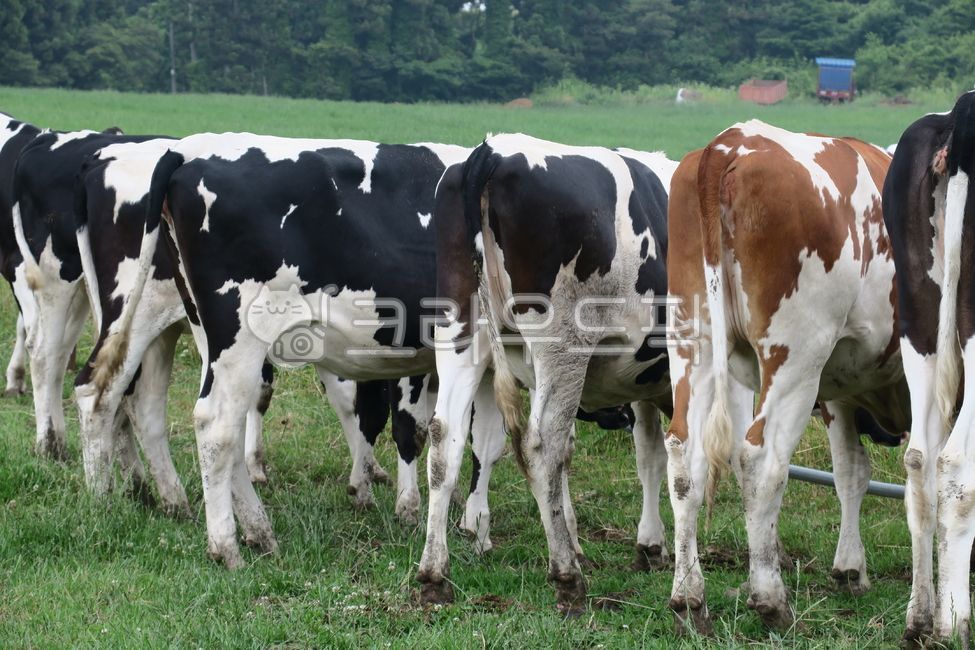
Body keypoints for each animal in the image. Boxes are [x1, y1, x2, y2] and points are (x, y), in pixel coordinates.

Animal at [92, 133, 510, 568]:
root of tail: (190, 150)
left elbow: (484, 443)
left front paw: (471, 525)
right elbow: (424, 430)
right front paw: (418, 512)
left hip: (205, 335)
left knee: (198, 418)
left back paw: (254, 528)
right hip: (235, 333)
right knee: (209, 424)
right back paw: (222, 544)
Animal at [417, 133, 678, 614]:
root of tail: (494, 150)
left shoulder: (643, 380)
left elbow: (648, 453)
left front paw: (646, 544)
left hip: (462, 332)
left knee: (446, 440)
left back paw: (433, 574)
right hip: (562, 346)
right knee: (542, 445)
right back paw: (566, 576)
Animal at [666, 120, 908, 633]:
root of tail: (731, 142)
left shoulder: (840, 388)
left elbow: (851, 471)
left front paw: (851, 568)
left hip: (693, 343)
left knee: (685, 459)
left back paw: (689, 595)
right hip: (796, 356)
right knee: (760, 460)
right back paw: (770, 597)